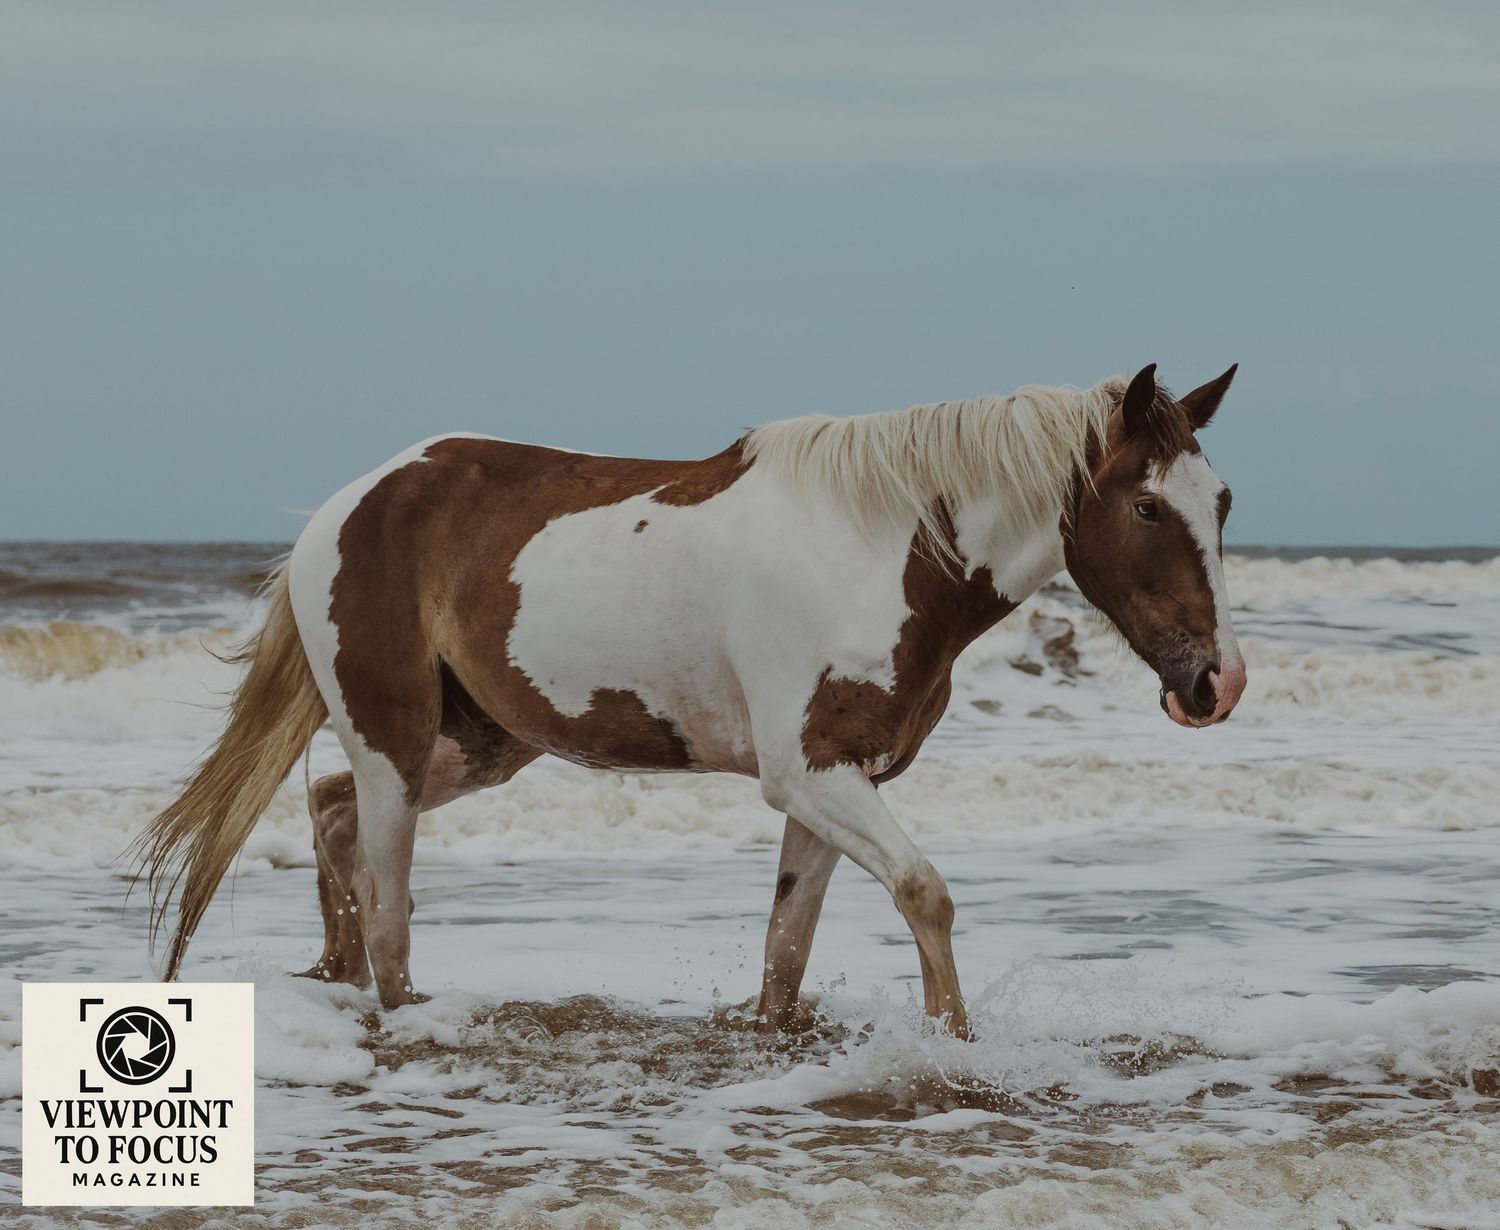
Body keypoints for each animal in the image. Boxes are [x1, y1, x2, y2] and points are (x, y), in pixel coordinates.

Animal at [135, 362, 1245, 1039]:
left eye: (1223, 501)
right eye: (1147, 505)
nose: (1216, 682)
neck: (881, 548)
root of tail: (347, 505)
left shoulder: (837, 780)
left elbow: (787, 951)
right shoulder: (811, 777)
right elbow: (925, 891)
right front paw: (954, 1047)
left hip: (479, 742)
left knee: (330, 819)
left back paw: (334, 979)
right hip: (397, 747)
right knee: (389, 911)